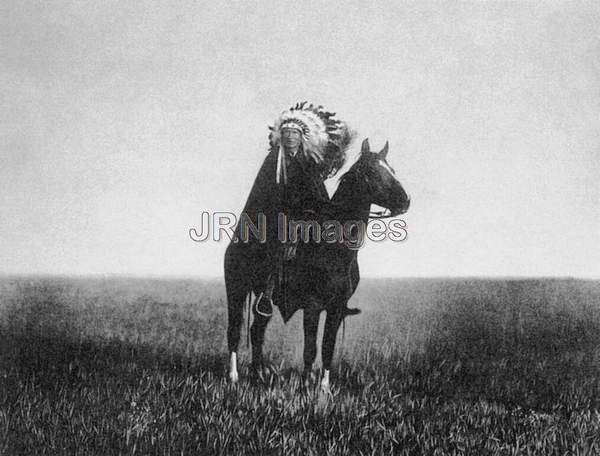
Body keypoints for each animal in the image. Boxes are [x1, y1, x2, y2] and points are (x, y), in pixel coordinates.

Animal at [223, 138, 410, 388]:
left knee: (257, 330)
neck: (335, 251)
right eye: (372, 172)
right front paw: (305, 385)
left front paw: (324, 388)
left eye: (392, 170)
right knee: (234, 331)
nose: (405, 201)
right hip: (236, 289)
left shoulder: (336, 308)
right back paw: (234, 376)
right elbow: (310, 350)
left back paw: (258, 373)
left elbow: (327, 348)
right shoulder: (312, 307)